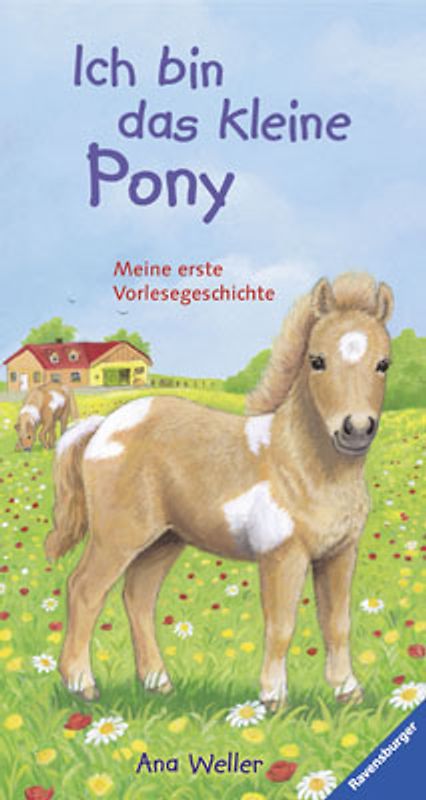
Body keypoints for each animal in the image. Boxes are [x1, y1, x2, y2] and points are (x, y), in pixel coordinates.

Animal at [45, 272, 393, 709]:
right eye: (317, 360)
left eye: (383, 363)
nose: (356, 430)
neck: (303, 467)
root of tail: (102, 427)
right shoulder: (282, 556)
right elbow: (282, 626)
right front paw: (273, 698)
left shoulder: (340, 553)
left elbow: (337, 622)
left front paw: (348, 691)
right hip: (118, 537)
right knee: (85, 590)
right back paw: (81, 684)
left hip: (164, 541)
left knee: (138, 598)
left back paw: (157, 682)